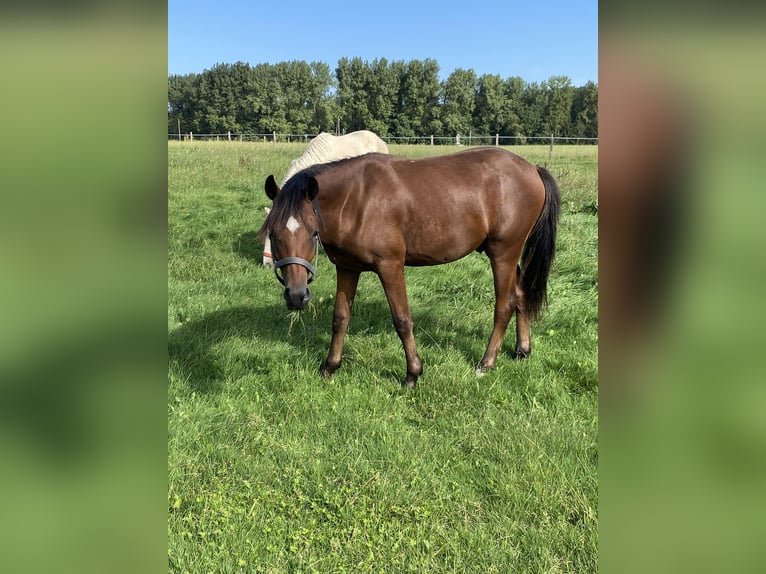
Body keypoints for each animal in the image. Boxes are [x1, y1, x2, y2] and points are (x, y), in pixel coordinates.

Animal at [260, 148, 560, 390]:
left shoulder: (390, 266)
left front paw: (413, 374)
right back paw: (522, 350)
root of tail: (532, 168)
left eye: (313, 233)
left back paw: (486, 362)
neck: (356, 199)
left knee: (504, 305)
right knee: (520, 294)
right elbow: (340, 319)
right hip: (506, 254)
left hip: (503, 253)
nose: (297, 296)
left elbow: (402, 320)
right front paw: (330, 367)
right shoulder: (347, 268)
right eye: (273, 233)